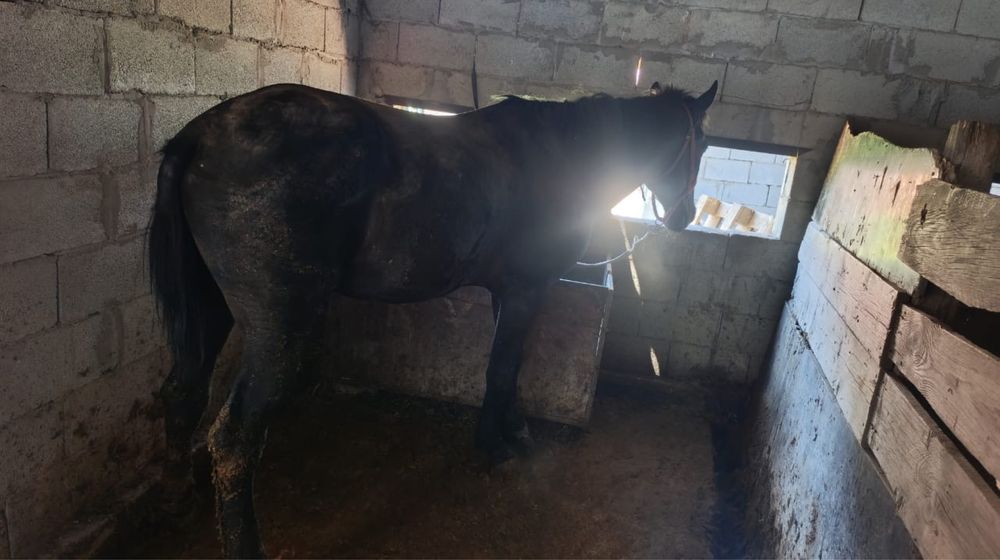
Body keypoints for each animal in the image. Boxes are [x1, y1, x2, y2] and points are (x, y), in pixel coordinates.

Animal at [149, 79, 718, 557]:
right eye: (704, 144)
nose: (685, 216)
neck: (563, 157)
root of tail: (200, 135)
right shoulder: (527, 291)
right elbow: (503, 368)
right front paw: (499, 446)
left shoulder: (508, 293)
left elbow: (504, 367)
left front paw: (509, 431)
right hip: (279, 328)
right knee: (234, 437)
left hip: (210, 307)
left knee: (183, 392)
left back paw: (178, 498)